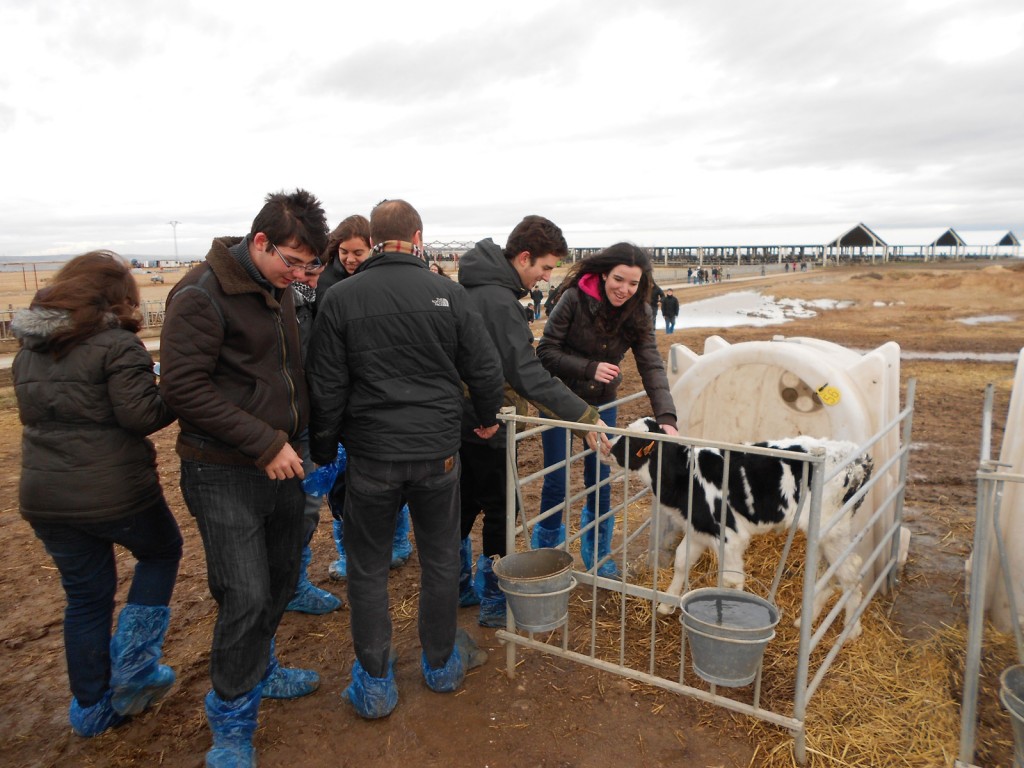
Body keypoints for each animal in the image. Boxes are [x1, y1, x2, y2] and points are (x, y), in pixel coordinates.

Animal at [602, 417, 876, 638]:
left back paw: (851, 631)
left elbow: (731, 582)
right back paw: (803, 623)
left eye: (628, 439)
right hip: (823, 533)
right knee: (829, 574)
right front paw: (666, 604)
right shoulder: (699, 529)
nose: (605, 443)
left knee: (851, 570)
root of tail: (859, 457)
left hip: (832, 530)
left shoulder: (730, 536)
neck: (686, 475)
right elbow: (681, 562)